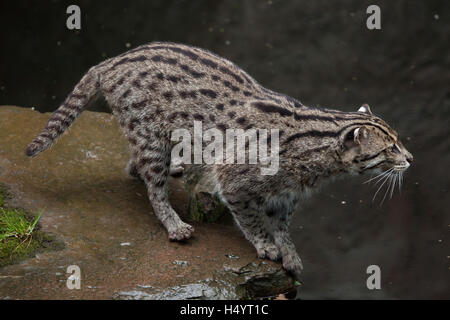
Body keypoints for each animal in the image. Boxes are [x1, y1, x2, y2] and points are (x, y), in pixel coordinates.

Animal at [23, 42, 412, 278]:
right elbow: (252, 219)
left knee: (135, 166)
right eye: (390, 148)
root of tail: (112, 61)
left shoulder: (286, 197)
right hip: (150, 134)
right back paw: (173, 222)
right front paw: (265, 244)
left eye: (398, 142)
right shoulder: (235, 180)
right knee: (153, 186)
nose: (410, 158)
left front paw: (289, 251)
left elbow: (283, 226)